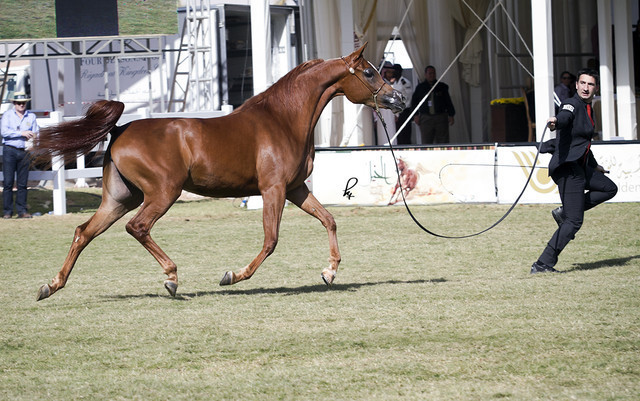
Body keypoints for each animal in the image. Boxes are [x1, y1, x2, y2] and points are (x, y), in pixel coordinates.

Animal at [32, 43, 406, 301]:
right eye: (369, 72)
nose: (398, 99)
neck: (283, 119)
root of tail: (121, 129)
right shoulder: (274, 189)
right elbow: (271, 240)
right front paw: (233, 275)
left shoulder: (296, 189)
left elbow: (329, 219)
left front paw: (329, 272)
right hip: (162, 193)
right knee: (137, 227)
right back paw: (171, 278)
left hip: (120, 198)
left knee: (83, 232)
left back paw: (51, 285)